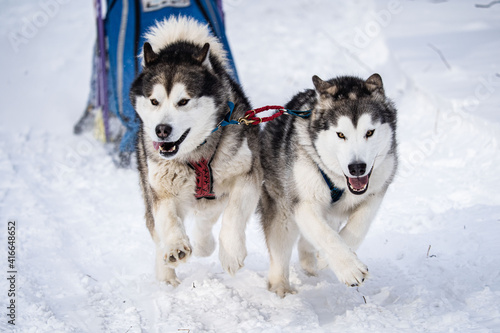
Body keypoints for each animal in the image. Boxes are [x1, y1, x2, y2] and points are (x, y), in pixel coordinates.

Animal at [129, 16, 262, 286]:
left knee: (206, 217)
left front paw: (231, 252)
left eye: (183, 101)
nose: (161, 130)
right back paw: (166, 273)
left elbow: (233, 213)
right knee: (159, 230)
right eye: (154, 101)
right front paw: (175, 247)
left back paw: (203, 244)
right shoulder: (160, 189)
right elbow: (167, 219)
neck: (196, 155)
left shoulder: (247, 175)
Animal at [260, 73, 396, 296]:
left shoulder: (376, 192)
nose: (357, 167)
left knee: (308, 242)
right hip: (282, 209)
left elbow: (358, 226)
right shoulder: (304, 203)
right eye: (341, 135)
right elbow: (326, 236)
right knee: (281, 248)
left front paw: (329, 258)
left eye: (370, 132)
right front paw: (349, 268)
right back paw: (281, 286)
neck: (340, 181)